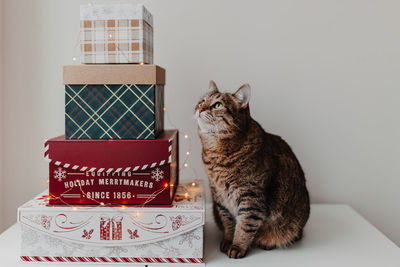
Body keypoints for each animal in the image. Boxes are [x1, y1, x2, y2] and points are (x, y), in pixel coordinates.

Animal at [195, 81, 310, 260]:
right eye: (202, 101)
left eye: (217, 105)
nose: (200, 108)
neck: (217, 155)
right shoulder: (219, 197)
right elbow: (228, 223)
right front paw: (228, 241)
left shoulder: (251, 199)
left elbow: (244, 226)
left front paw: (237, 246)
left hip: (293, 223)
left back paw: (267, 242)